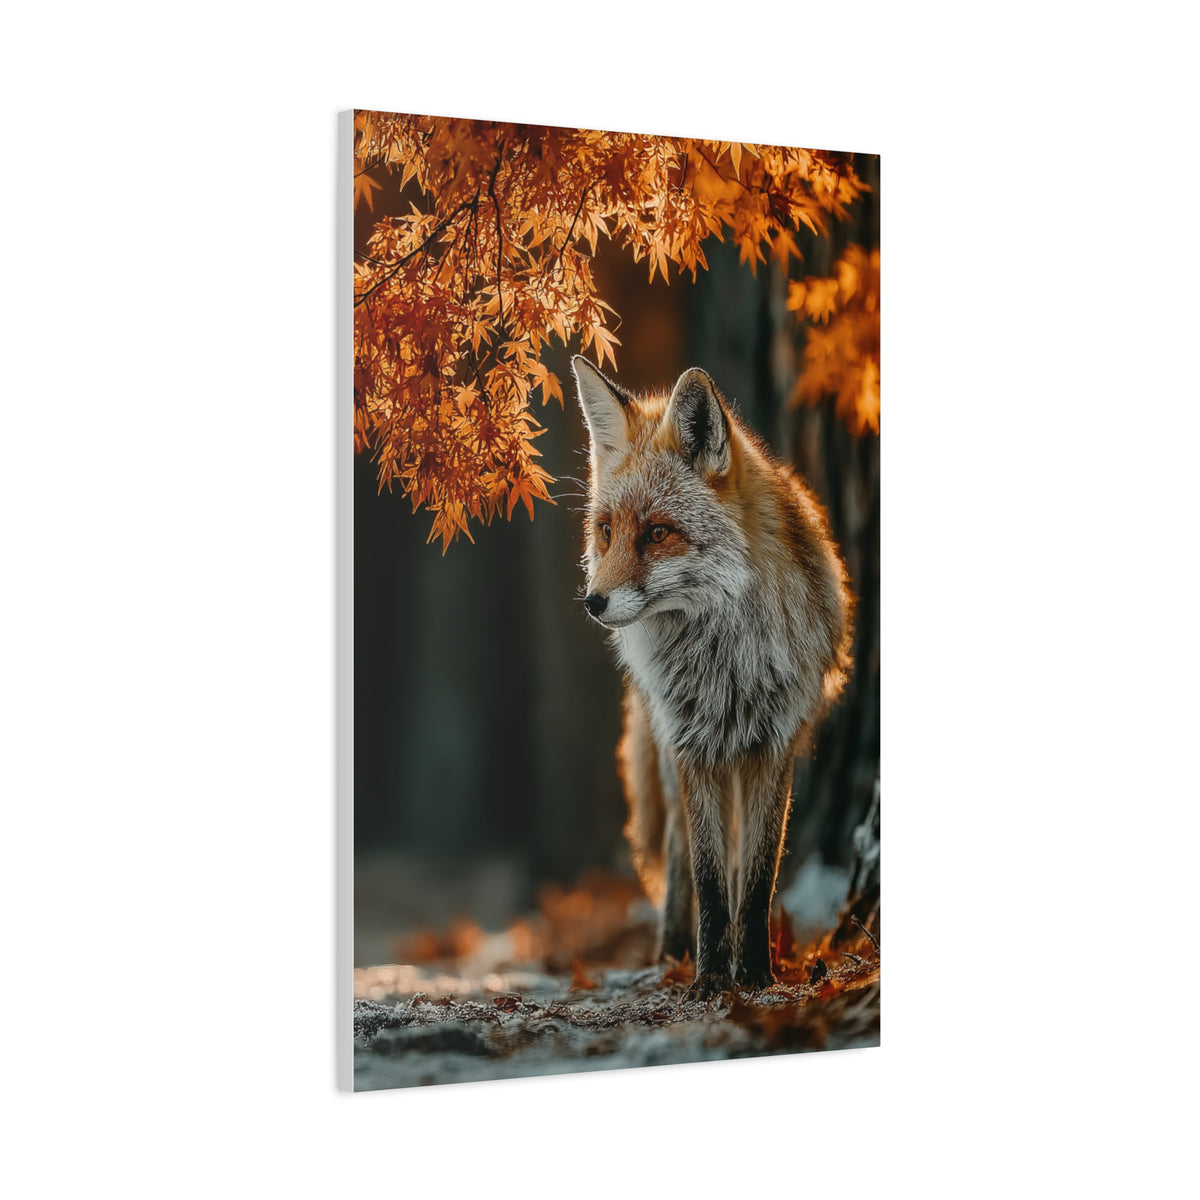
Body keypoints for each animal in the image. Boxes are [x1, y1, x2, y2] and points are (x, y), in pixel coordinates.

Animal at [572, 355, 854, 999]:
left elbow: (756, 877)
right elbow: (706, 874)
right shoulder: (693, 747)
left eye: (657, 532)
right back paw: (673, 948)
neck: (724, 667)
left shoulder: (773, 746)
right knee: (680, 853)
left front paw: (753, 976)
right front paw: (708, 979)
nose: (593, 603)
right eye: (606, 530)